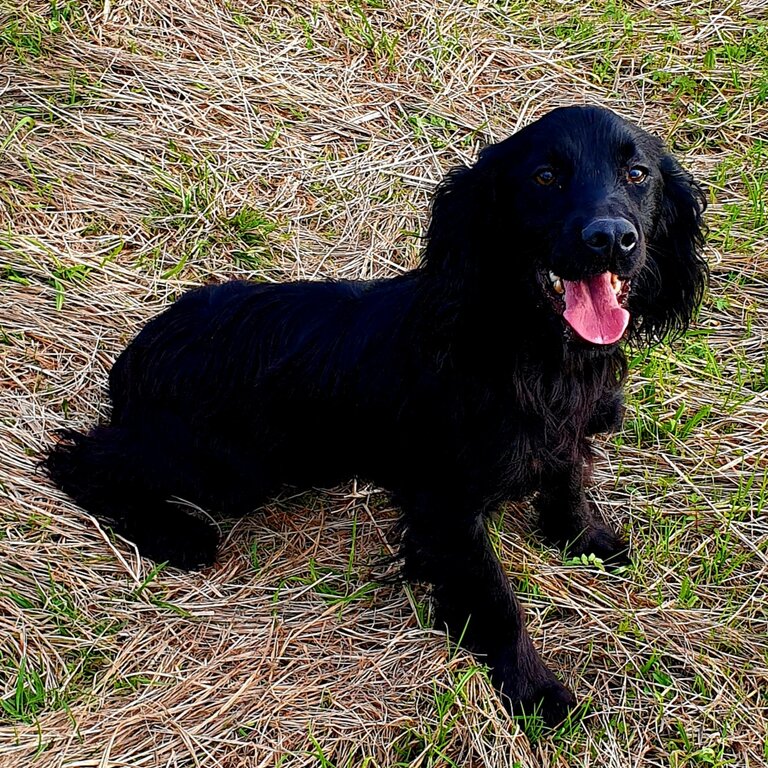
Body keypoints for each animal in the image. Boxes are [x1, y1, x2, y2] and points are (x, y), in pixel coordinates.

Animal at [45, 106, 708, 728]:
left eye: (638, 174)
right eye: (545, 176)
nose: (611, 238)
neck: (533, 352)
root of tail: (139, 351)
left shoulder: (565, 438)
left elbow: (569, 479)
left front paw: (585, 539)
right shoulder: (446, 504)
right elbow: (495, 598)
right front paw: (533, 691)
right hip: (233, 471)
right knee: (77, 456)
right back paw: (176, 534)